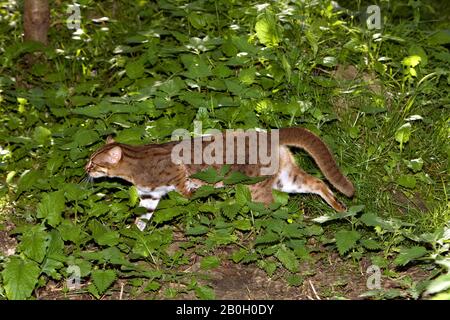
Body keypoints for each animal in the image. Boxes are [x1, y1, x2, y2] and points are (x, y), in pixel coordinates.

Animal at [86, 127, 354, 230]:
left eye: (93, 162)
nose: (85, 170)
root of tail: (269, 134)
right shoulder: (149, 197)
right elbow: (141, 219)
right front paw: (135, 237)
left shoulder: (180, 176)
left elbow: (189, 195)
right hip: (285, 179)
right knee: (318, 183)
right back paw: (340, 209)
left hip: (257, 189)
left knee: (274, 210)